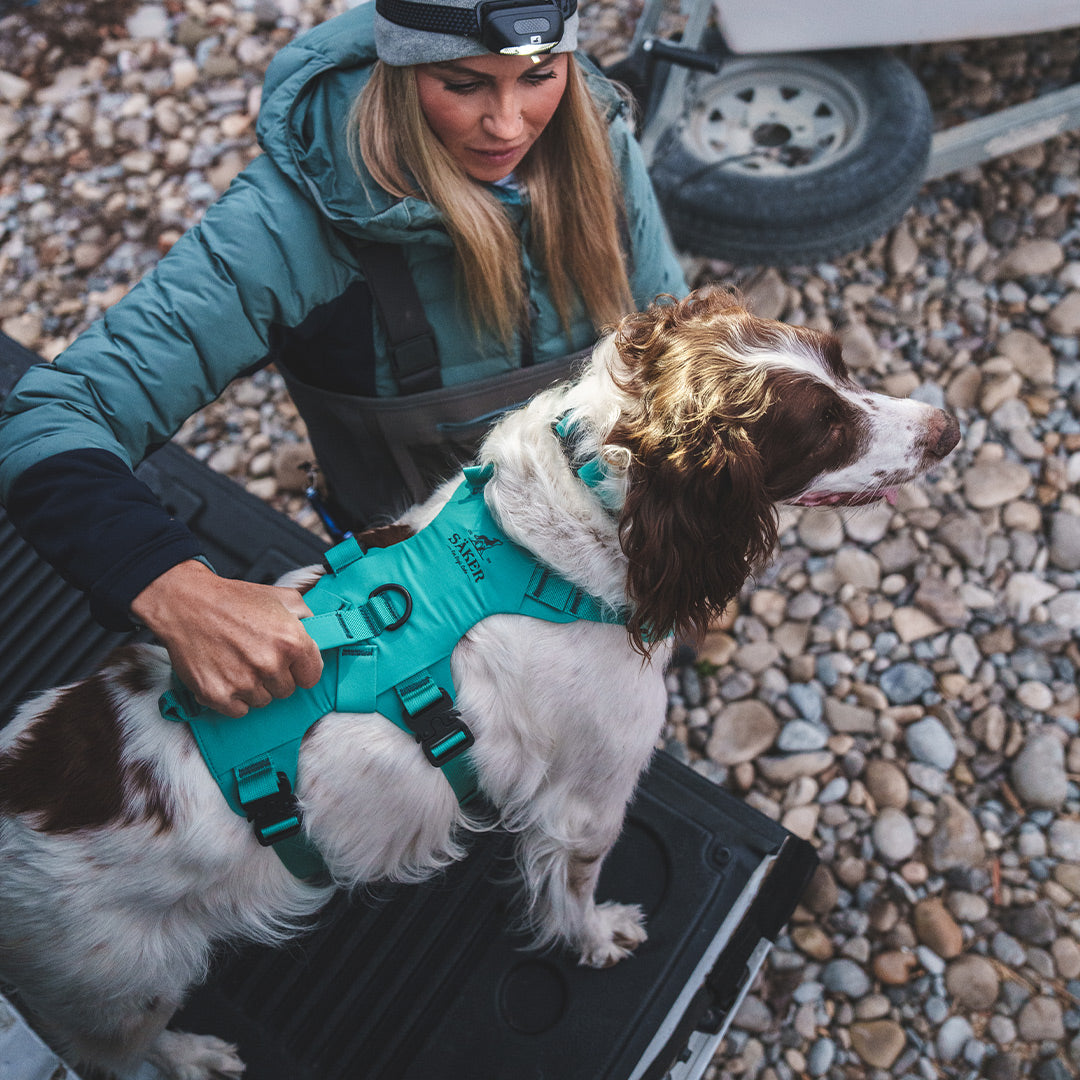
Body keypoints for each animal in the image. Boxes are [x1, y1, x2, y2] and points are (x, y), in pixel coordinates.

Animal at [0, 289, 963, 1080]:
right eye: (824, 428)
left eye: (840, 362)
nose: (947, 427)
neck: (562, 537)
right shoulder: (589, 799)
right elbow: (572, 891)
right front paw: (599, 938)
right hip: (117, 991)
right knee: (123, 1053)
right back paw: (194, 1054)